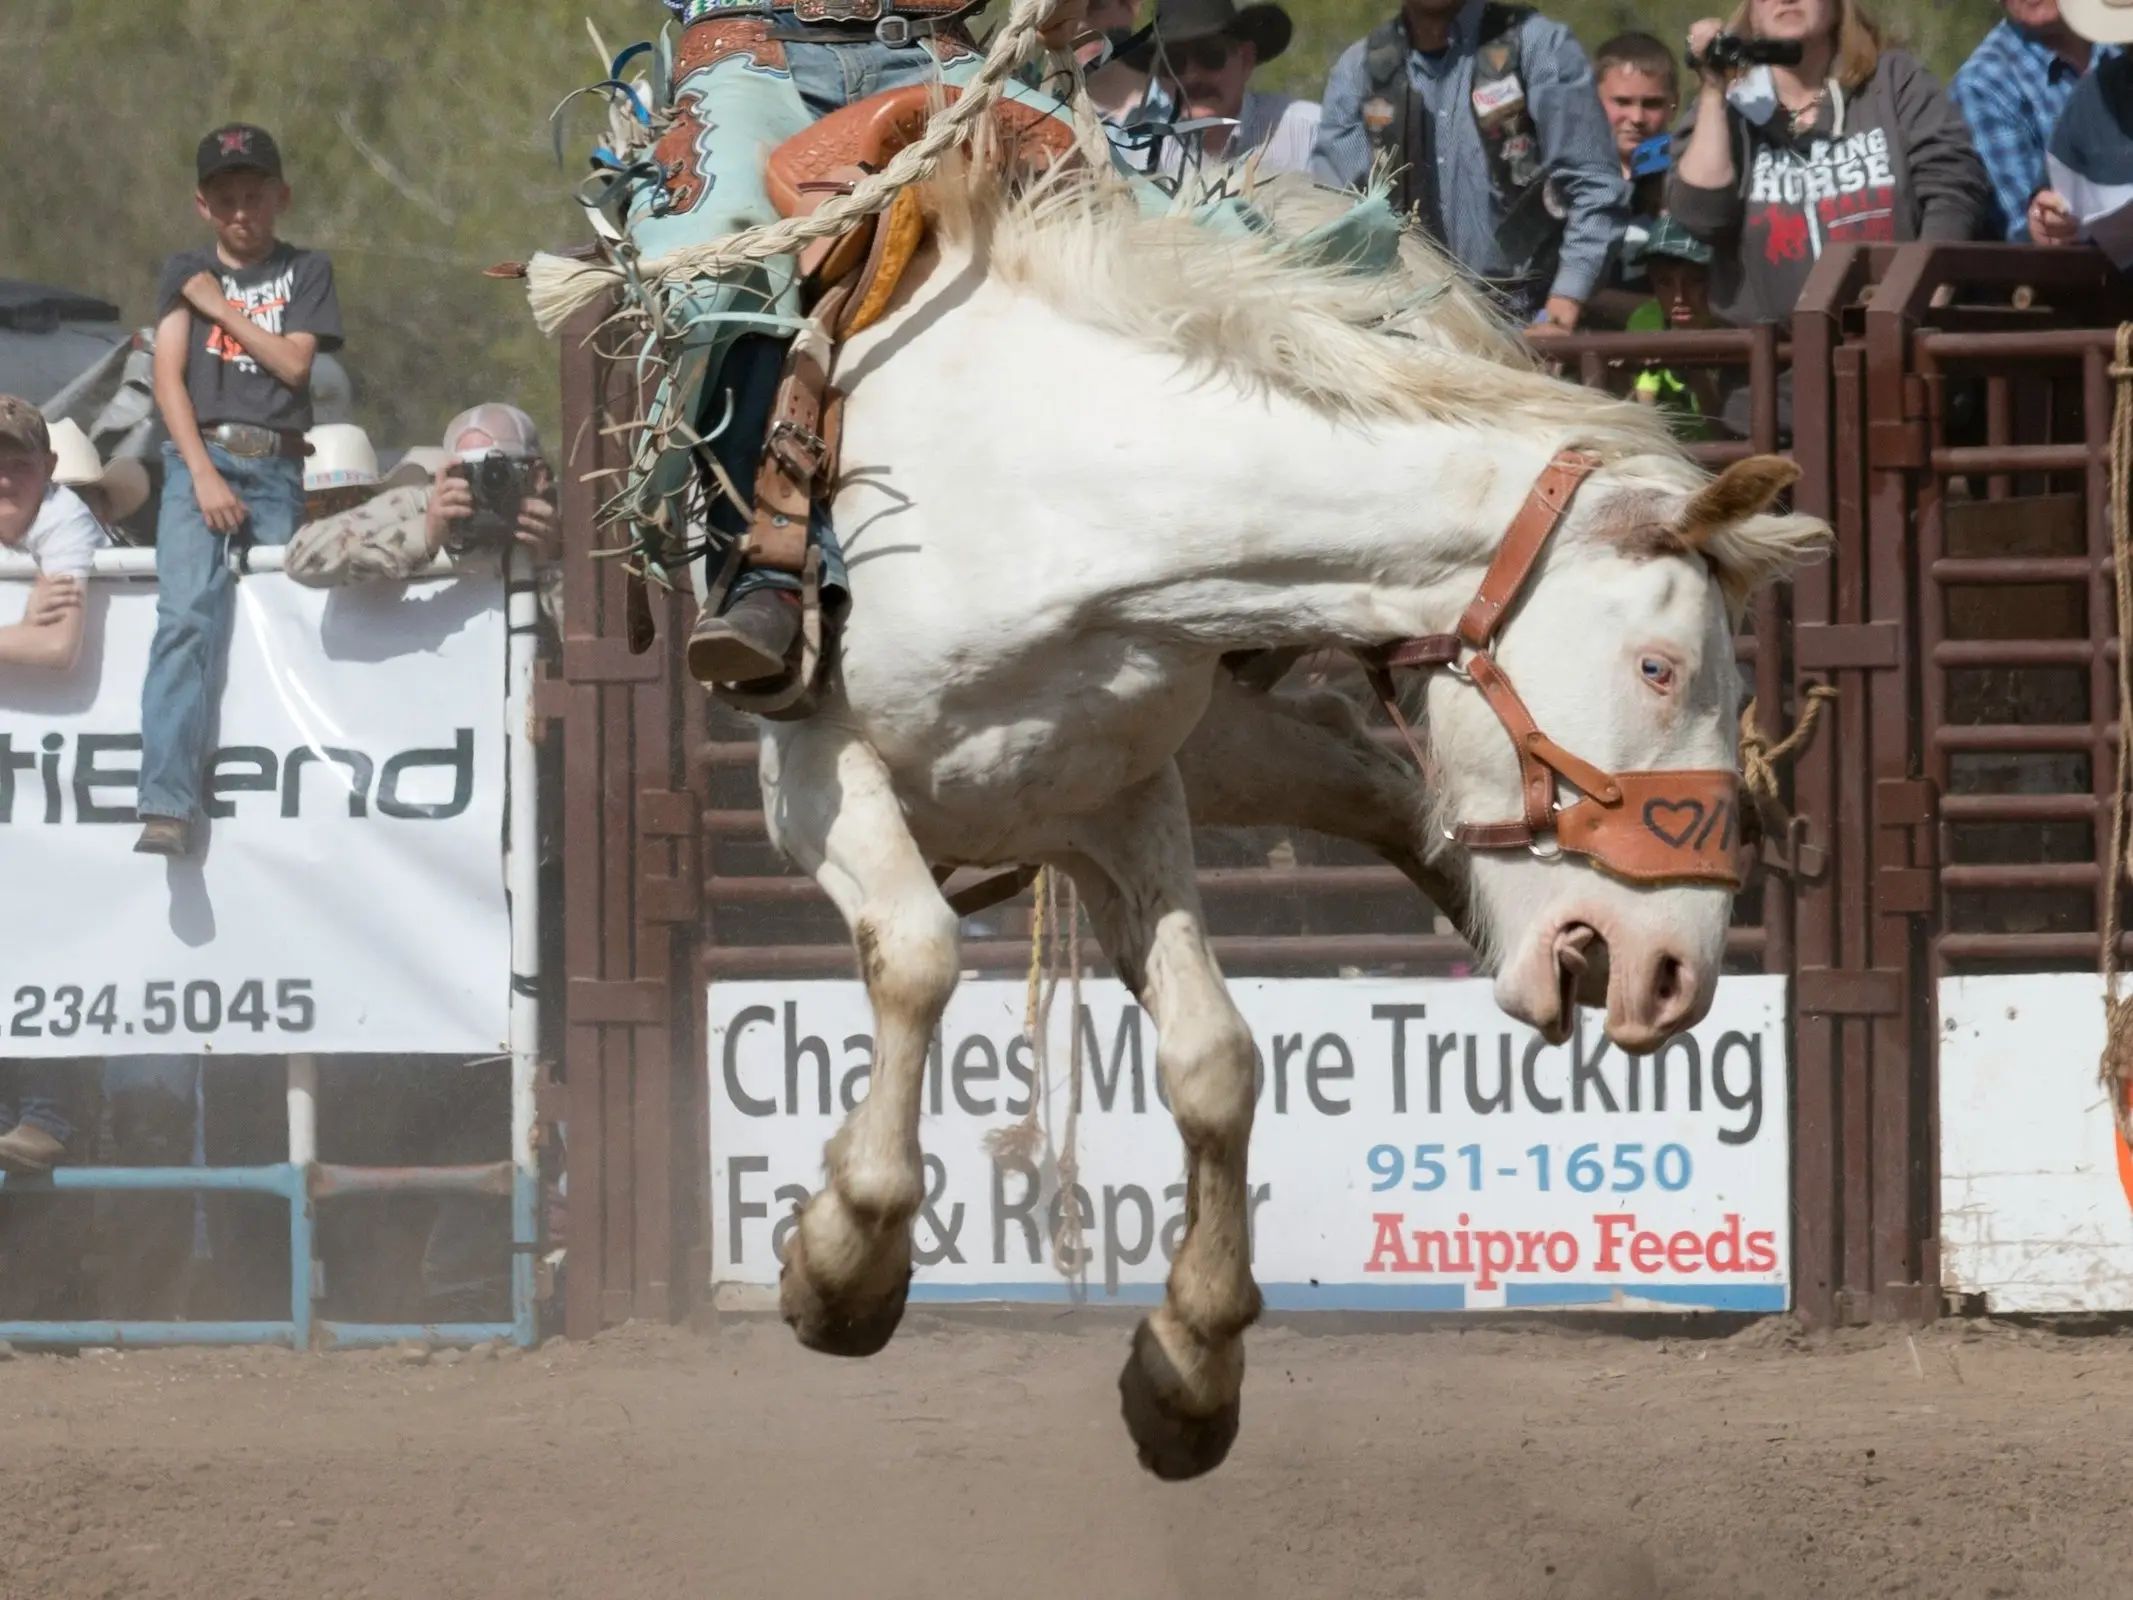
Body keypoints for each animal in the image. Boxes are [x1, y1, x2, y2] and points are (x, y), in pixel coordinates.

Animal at [746, 169, 1817, 1484]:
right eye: (1662, 667)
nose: (1674, 973)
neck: (1052, 491)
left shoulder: (1121, 792)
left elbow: (1215, 1057)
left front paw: (1191, 1364)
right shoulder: (812, 770)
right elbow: (917, 955)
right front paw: (842, 1259)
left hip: (1220, 749)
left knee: (1370, 779)